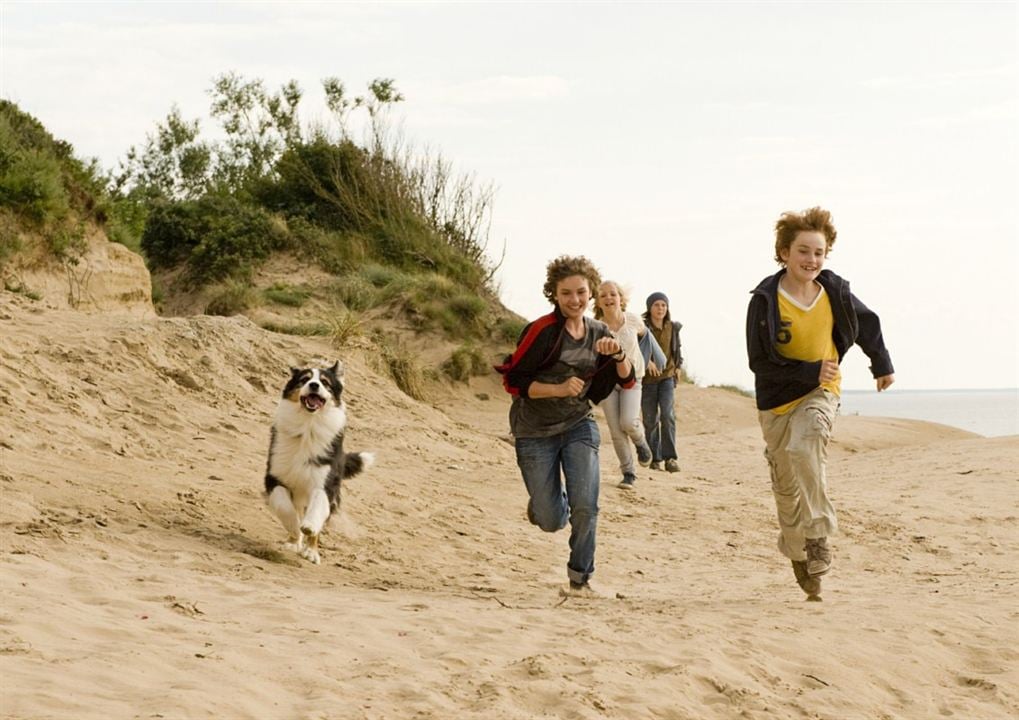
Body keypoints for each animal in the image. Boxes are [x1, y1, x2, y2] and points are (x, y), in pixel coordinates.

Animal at [262, 362, 374, 566]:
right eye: (304, 379)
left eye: (325, 382)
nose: (314, 385)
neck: (308, 426)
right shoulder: (275, 475)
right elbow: (284, 506)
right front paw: (295, 531)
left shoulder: (325, 483)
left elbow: (317, 509)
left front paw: (308, 529)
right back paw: (294, 542)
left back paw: (311, 551)